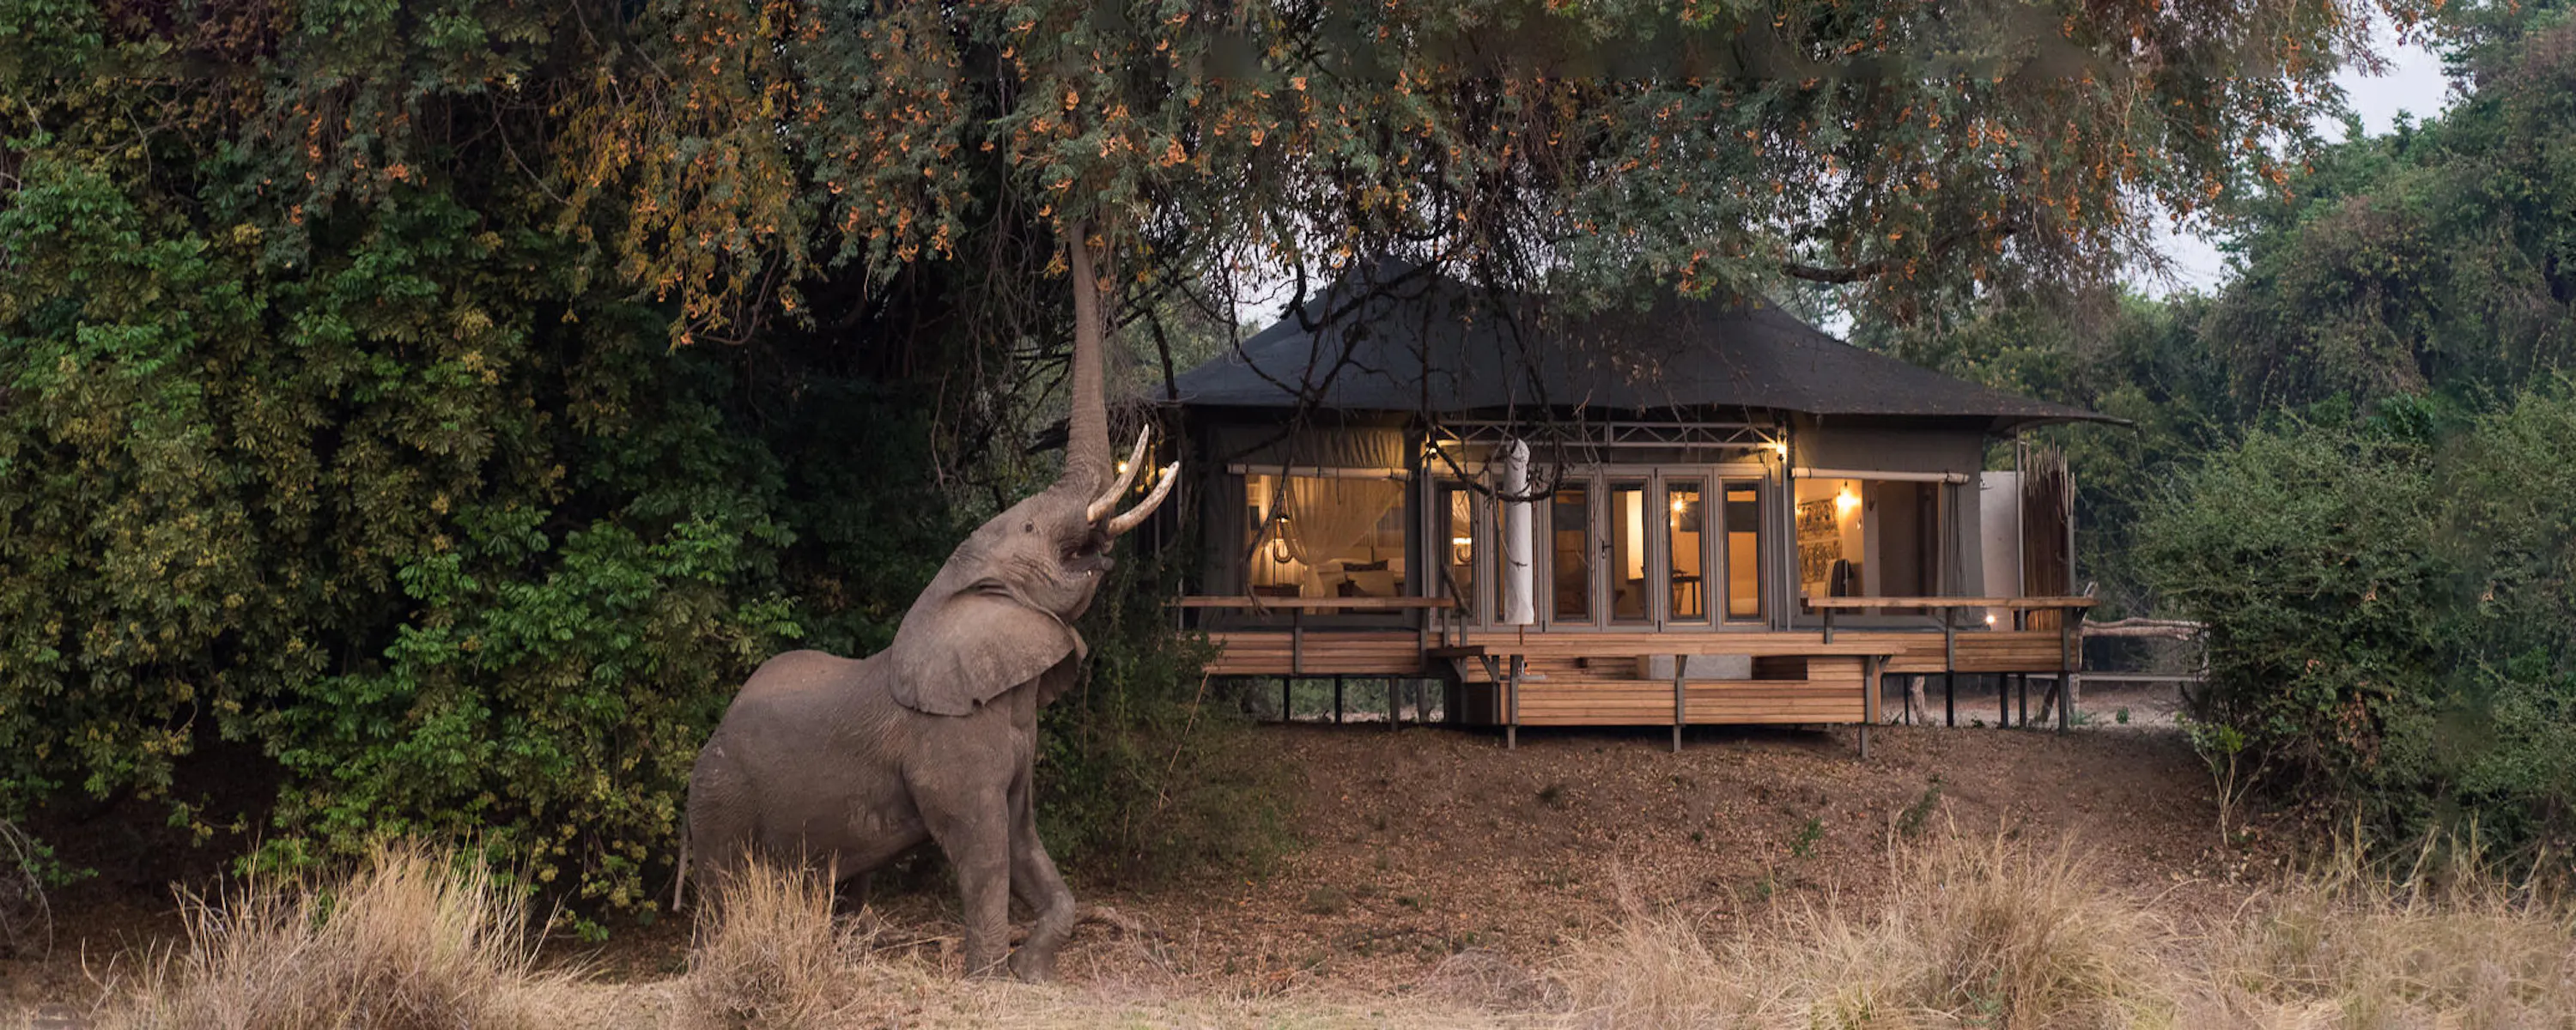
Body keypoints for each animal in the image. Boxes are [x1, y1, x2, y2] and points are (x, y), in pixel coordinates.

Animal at [676, 227, 1174, 980]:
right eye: (1032, 528)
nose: (1075, 225)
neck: (955, 591)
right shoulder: (949, 743)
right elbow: (983, 847)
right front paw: (988, 980)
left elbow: (1023, 838)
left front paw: (1032, 973)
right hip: (721, 800)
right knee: (724, 894)